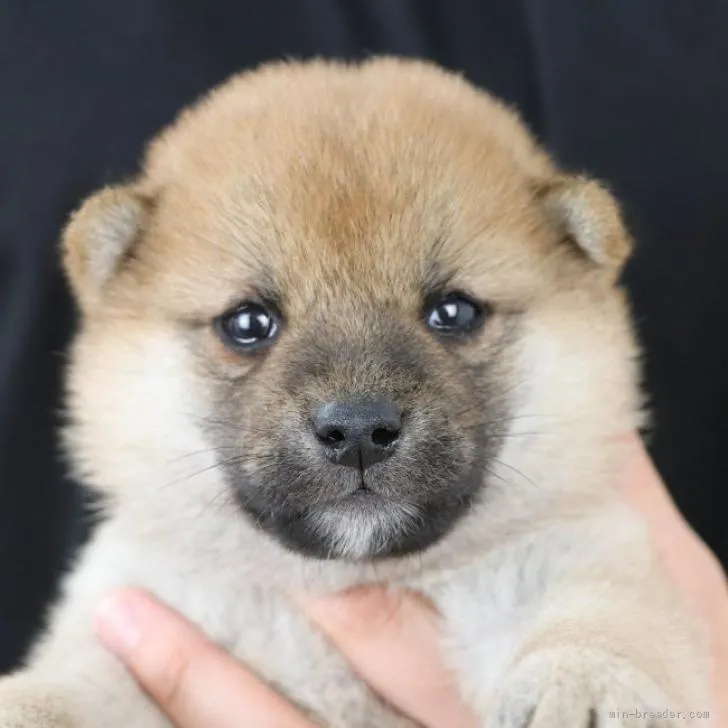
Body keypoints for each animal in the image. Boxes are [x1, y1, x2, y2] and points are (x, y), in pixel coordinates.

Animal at [0, 59, 712, 724]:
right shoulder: (137, 616)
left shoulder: (576, 553)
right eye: (248, 323)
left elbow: (603, 616)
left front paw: (582, 685)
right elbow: (73, 684)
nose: (359, 431)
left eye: (453, 312)